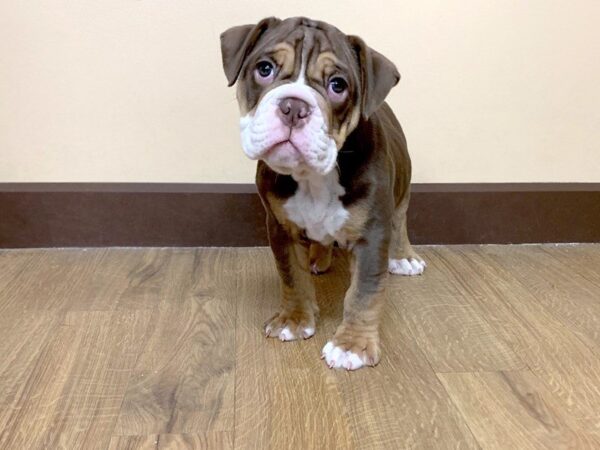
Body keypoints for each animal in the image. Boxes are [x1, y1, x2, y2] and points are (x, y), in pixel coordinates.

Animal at [218, 16, 424, 370]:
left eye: (337, 85)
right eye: (264, 68)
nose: (293, 106)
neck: (313, 177)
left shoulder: (372, 234)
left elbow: (364, 292)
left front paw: (352, 345)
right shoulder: (280, 227)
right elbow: (292, 276)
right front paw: (293, 319)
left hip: (403, 189)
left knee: (401, 221)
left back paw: (403, 256)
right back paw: (320, 257)